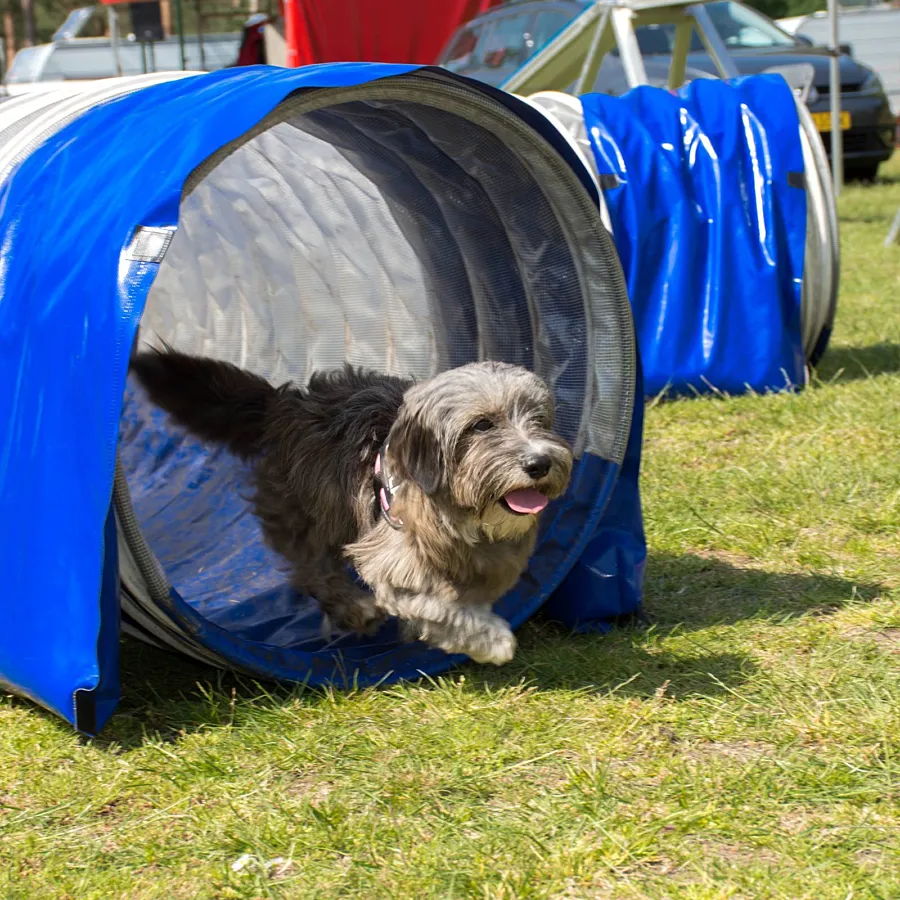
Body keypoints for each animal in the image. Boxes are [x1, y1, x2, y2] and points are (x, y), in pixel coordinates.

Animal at [130, 348, 572, 664]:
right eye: (482, 425)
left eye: (539, 420)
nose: (539, 463)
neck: (457, 514)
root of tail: (285, 404)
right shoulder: (393, 563)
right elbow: (441, 606)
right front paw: (490, 639)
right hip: (305, 515)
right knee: (313, 572)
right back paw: (354, 607)